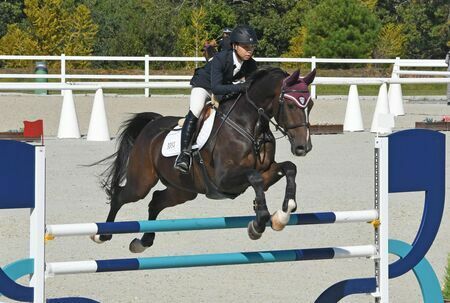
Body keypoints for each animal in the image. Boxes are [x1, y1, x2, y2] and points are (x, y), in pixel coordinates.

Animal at [91, 67, 316, 254]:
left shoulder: (267, 171)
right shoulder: (223, 179)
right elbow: (255, 178)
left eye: (310, 105)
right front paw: (259, 223)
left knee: (155, 201)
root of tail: (152, 124)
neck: (251, 127)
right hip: (141, 182)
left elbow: (289, 168)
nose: (303, 147)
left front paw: (282, 214)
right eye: (290, 105)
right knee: (121, 196)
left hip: (183, 190)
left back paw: (143, 241)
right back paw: (102, 234)